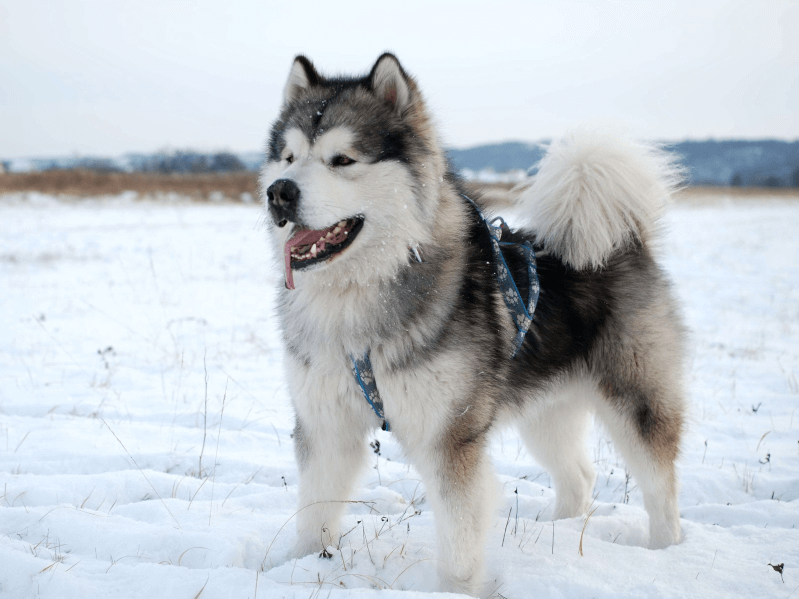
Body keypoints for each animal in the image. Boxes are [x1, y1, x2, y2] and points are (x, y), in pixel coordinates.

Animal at [260, 52, 684, 596]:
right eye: (288, 157)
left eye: (343, 160)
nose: (279, 193)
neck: (359, 297)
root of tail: (624, 239)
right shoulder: (324, 424)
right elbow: (314, 513)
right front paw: (300, 570)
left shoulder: (451, 436)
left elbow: (460, 537)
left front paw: (458, 588)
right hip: (547, 410)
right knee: (579, 474)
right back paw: (559, 538)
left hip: (636, 397)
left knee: (660, 484)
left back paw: (667, 553)